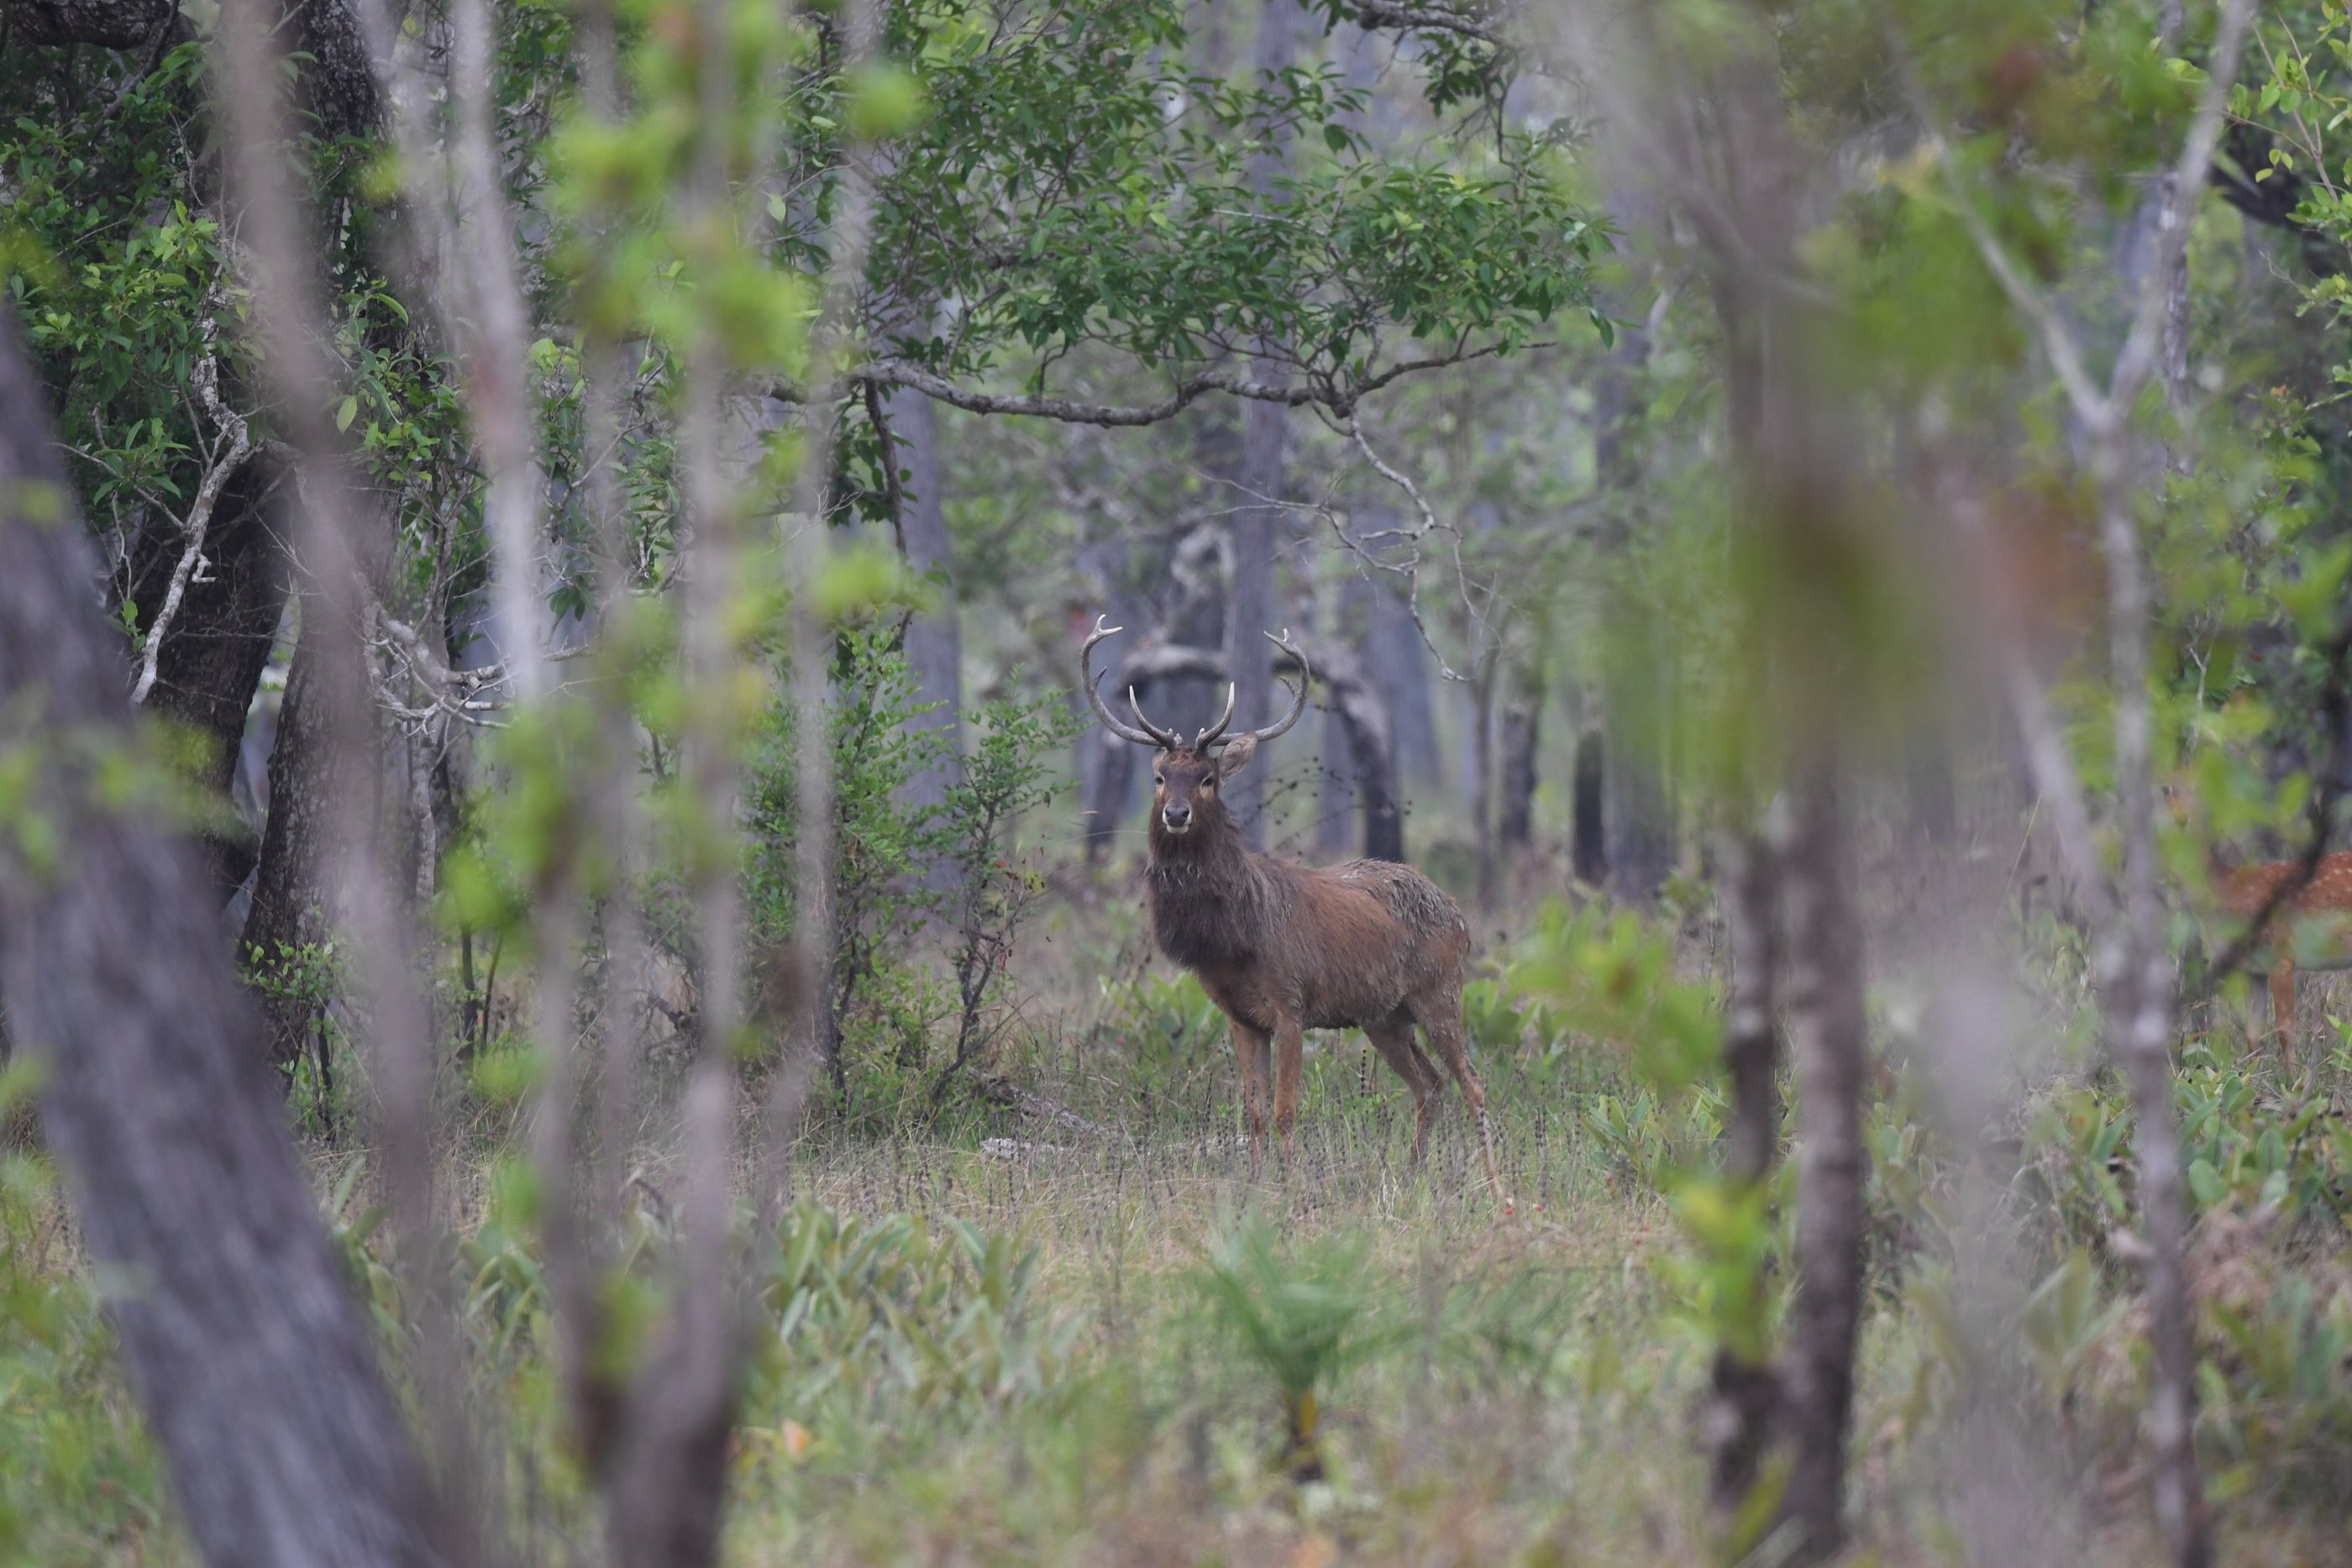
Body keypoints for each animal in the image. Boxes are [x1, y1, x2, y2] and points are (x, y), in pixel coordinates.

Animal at [1080, 616, 1505, 1201]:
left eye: (1208, 778)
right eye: (1160, 776)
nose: (1176, 814)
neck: (1234, 940)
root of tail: (1461, 917)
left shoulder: (1291, 1005)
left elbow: (1286, 1111)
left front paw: (1291, 1188)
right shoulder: (1240, 1017)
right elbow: (1255, 1113)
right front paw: (1256, 1185)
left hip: (1440, 992)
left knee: (1474, 1084)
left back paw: (1497, 1189)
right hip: (1384, 1016)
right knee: (1430, 1083)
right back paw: (1411, 1174)